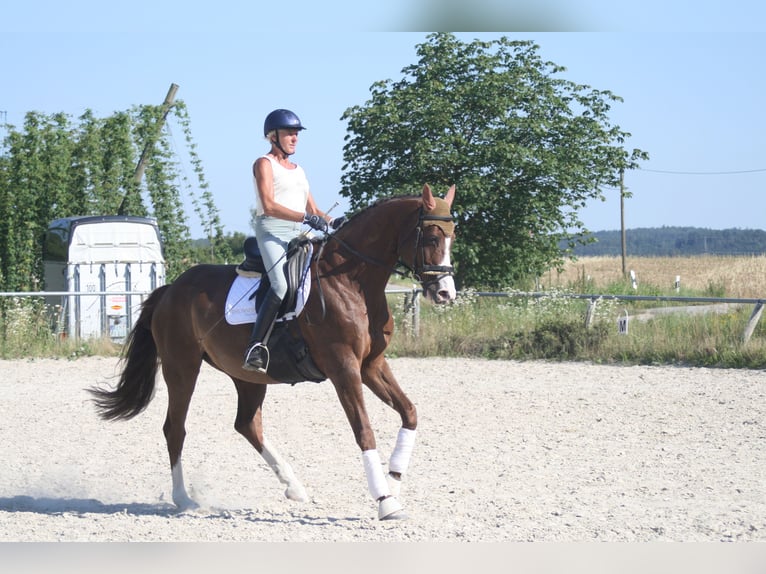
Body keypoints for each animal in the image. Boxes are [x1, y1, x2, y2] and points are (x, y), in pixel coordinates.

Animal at [91, 183, 462, 520]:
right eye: (431, 238)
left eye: (452, 239)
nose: (445, 293)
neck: (353, 282)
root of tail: (170, 290)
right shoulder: (344, 368)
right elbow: (364, 431)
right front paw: (385, 502)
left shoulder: (372, 364)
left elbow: (409, 412)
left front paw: (394, 482)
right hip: (182, 368)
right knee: (175, 428)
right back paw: (183, 498)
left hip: (247, 376)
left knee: (246, 424)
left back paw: (294, 486)